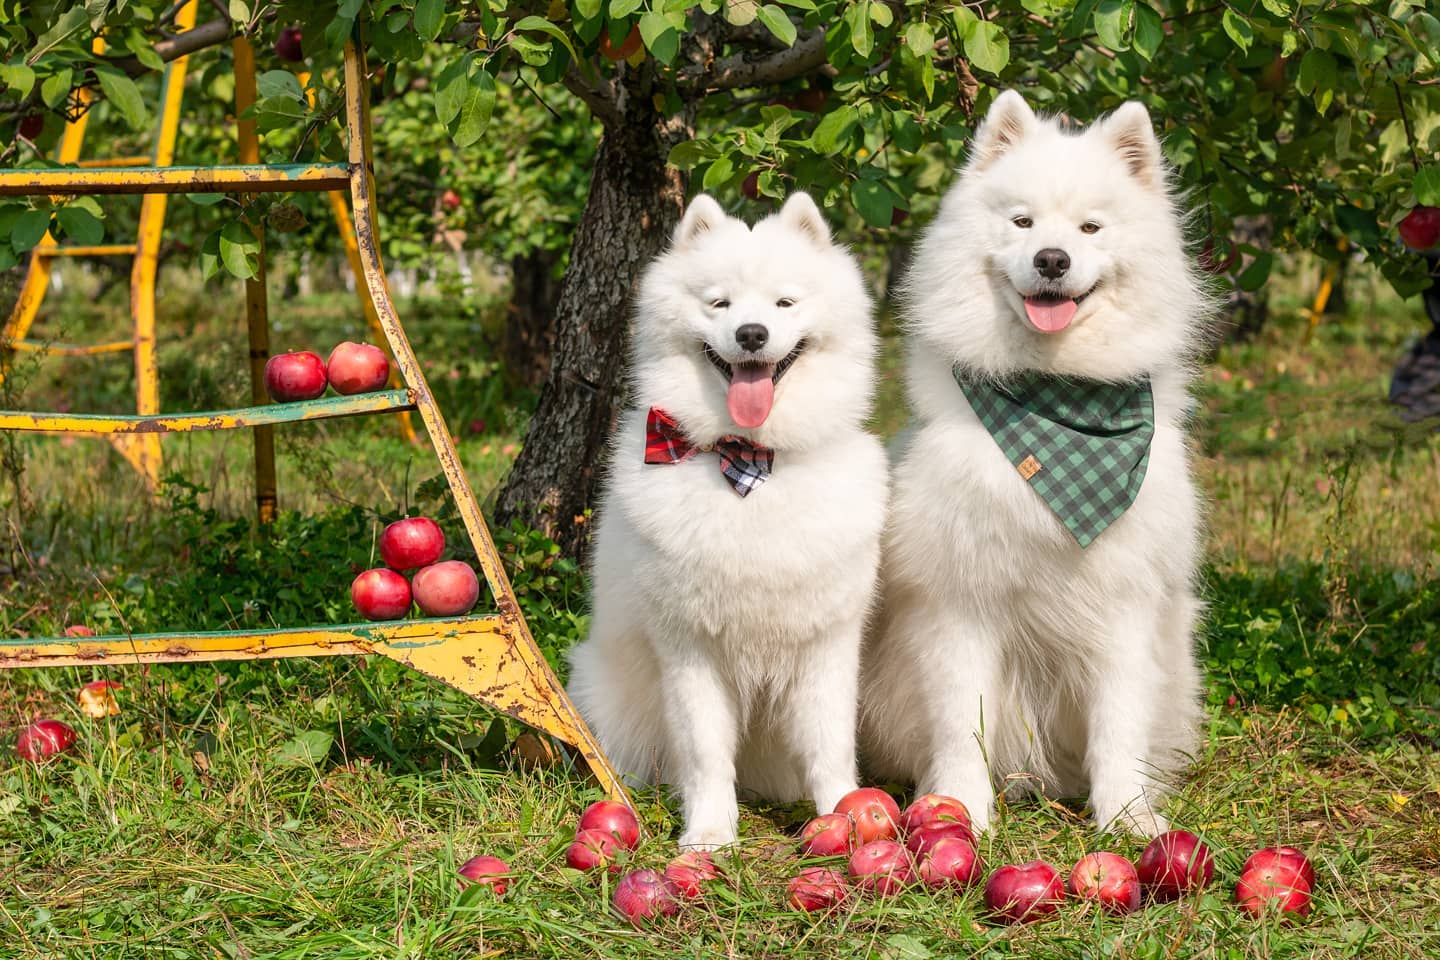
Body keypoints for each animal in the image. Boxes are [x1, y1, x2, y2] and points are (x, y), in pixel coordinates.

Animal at [564, 192, 887, 846]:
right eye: (720, 303)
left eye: (785, 302)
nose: (752, 333)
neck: (752, 464)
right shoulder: (691, 649)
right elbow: (706, 752)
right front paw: (710, 835)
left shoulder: (827, 643)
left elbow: (830, 746)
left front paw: (846, 814)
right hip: (603, 689)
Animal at [858, 93, 1209, 834]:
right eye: (1020, 221)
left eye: (1090, 227)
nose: (1051, 259)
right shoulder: (958, 602)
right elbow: (961, 722)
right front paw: (961, 809)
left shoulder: (1124, 601)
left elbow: (1118, 725)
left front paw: (1126, 818)